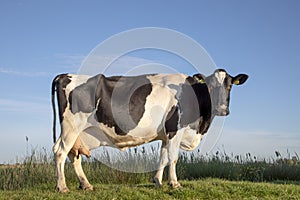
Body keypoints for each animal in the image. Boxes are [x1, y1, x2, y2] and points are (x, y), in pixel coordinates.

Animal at [51, 69, 248, 192]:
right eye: (210, 86)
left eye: (230, 85)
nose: (222, 109)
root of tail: (65, 75)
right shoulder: (174, 129)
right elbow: (173, 158)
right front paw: (174, 183)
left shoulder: (165, 135)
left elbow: (162, 157)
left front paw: (158, 181)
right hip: (71, 127)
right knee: (60, 152)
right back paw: (62, 187)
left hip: (78, 134)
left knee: (73, 155)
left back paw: (86, 185)